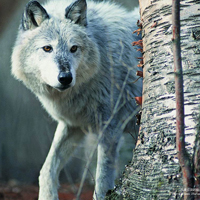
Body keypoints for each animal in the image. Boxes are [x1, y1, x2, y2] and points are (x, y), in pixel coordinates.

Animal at [11, 0, 142, 199]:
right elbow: (47, 169)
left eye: (74, 48)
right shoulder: (72, 125)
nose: (65, 77)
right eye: (47, 48)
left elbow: (102, 180)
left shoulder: (110, 128)